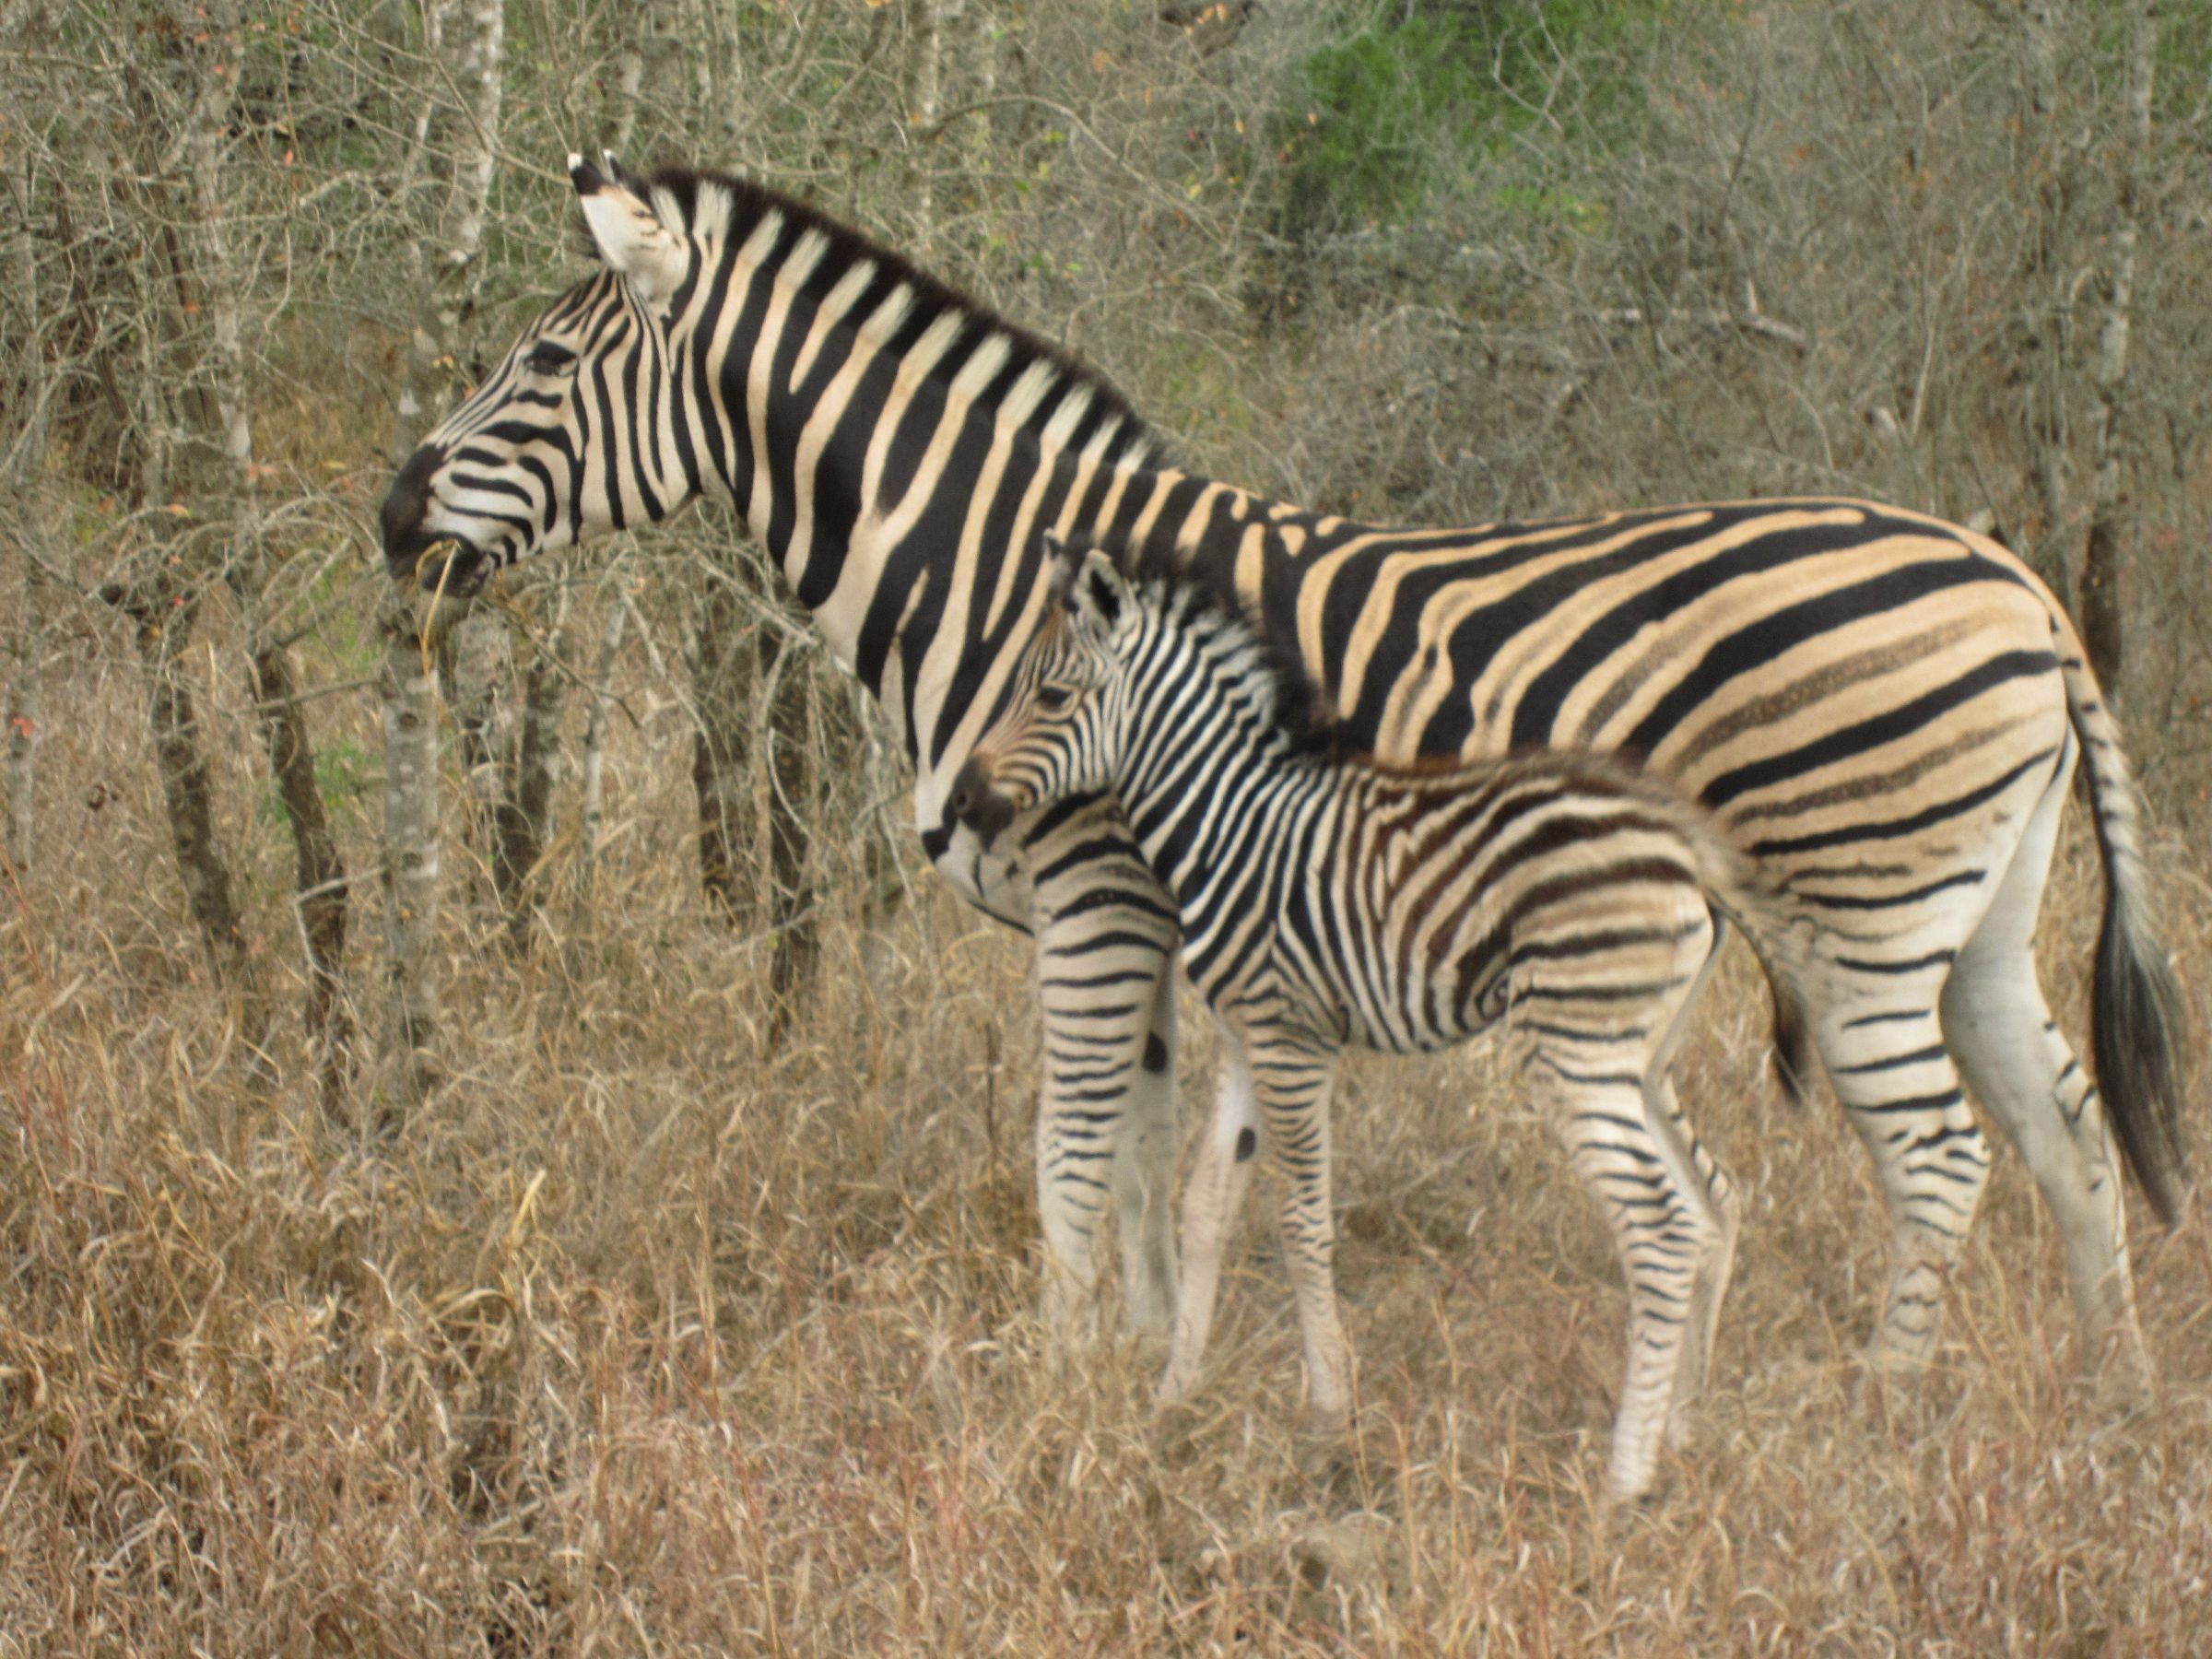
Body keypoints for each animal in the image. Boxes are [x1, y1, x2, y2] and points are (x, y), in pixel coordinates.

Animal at [384, 156, 2194, 1380]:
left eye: (543, 368)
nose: (393, 516)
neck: (997, 570)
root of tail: (2016, 577)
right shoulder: (1147, 922)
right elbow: (1143, 1168)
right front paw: (1144, 1380)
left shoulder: (1092, 895)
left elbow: (1068, 1160)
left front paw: (1058, 1399)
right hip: (1972, 913)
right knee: (2066, 1126)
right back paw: (2099, 1396)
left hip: (1860, 910)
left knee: (1945, 1155)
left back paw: (1892, 1411)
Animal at [947, 535, 1795, 1504]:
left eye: (1050, 696)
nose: (962, 803)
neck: (1228, 822)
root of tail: (1686, 850)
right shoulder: (1244, 1033)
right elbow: (1205, 1206)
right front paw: (1175, 1392)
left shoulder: (1293, 1038)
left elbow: (1302, 1221)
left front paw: (1327, 1411)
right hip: (1635, 1057)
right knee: (1710, 1203)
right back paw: (1680, 1431)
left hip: (1575, 1051)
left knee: (1659, 1230)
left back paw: (1622, 1479)